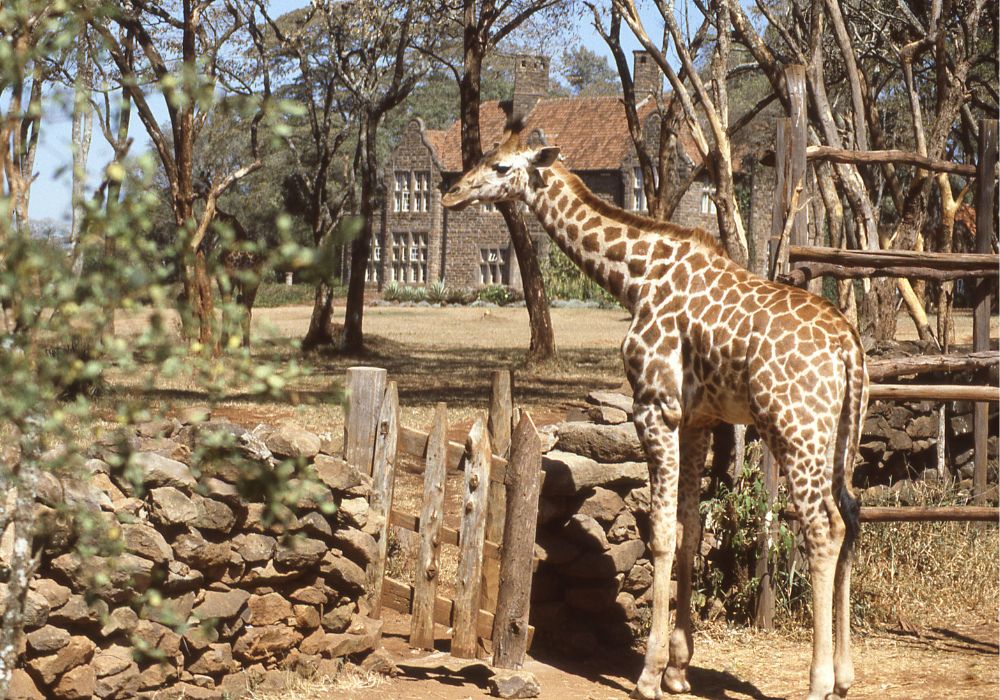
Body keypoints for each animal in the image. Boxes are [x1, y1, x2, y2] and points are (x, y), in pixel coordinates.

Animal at [444, 127, 868, 700]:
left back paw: (818, 681)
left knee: (820, 528)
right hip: (841, 435)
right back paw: (844, 675)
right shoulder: (698, 420)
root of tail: (849, 347)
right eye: (484, 157)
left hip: (793, 428)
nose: (452, 193)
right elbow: (689, 530)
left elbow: (661, 533)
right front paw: (678, 669)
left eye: (501, 166)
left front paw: (648, 673)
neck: (636, 277)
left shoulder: (655, 407)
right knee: (849, 516)